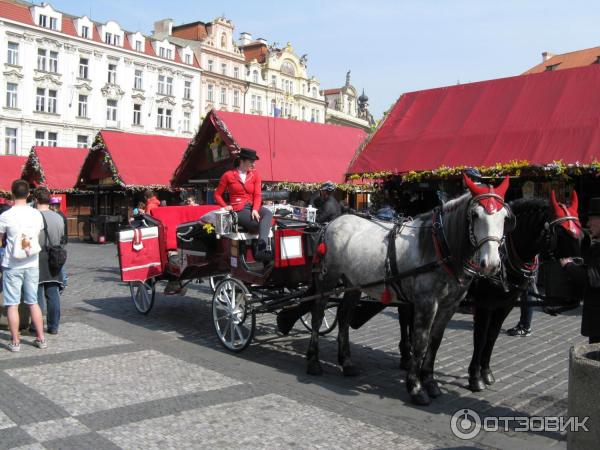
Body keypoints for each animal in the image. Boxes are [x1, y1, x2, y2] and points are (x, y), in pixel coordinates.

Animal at [310, 178, 510, 406]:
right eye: (475, 215)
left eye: (505, 217)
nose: (491, 264)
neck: (438, 246)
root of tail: (331, 224)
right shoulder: (426, 303)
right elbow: (421, 342)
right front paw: (415, 387)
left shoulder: (449, 305)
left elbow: (435, 342)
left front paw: (430, 382)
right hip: (327, 280)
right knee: (317, 314)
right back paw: (314, 361)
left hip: (353, 283)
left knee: (343, 318)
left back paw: (346, 362)